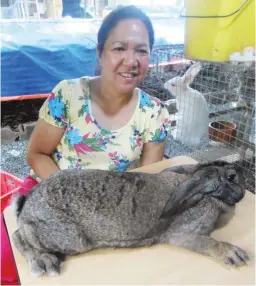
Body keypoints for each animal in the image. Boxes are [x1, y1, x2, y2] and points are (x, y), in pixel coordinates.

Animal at [12, 160, 248, 276]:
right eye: (231, 177)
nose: (243, 191)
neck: (208, 195)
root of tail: (26, 207)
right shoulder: (184, 235)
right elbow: (210, 242)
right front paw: (235, 254)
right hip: (69, 238)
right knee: (17, 236)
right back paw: (44, 262)